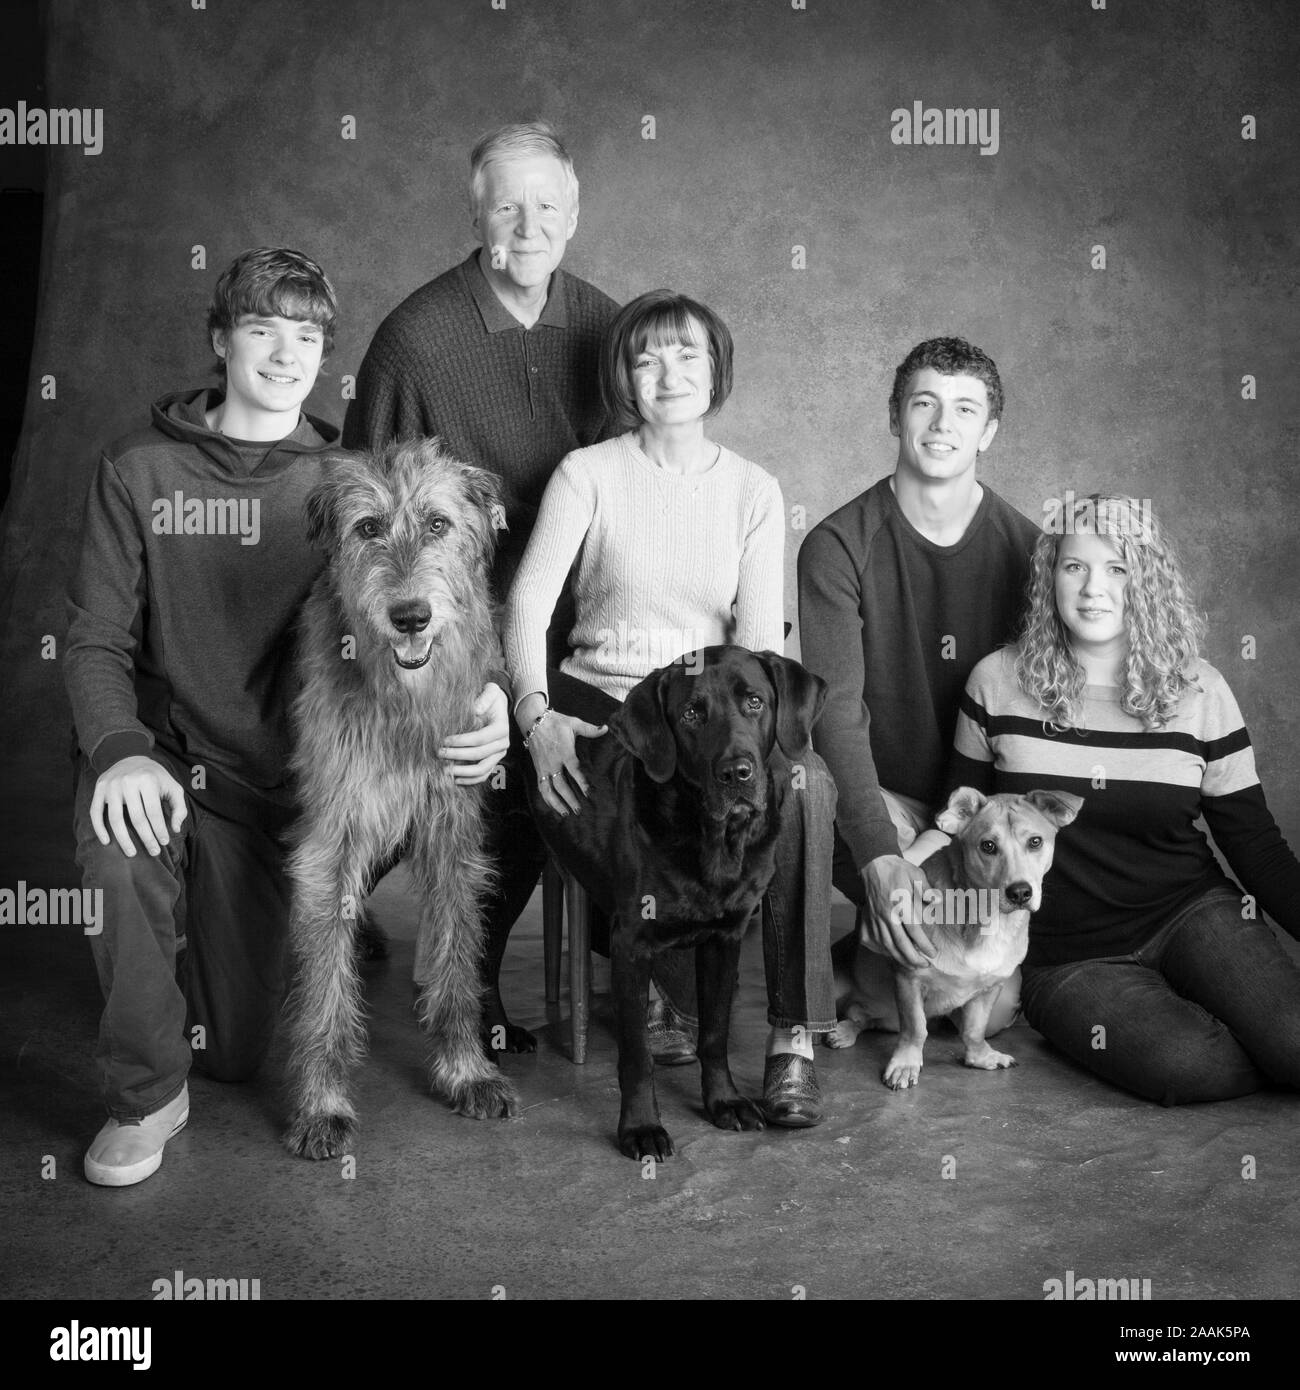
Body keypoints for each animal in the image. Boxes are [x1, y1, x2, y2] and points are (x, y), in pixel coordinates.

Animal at [828, 789, 1084, 1089]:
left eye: (1035, 841)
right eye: (988, 846)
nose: (1020, 892)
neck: (985, 920)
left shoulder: (990, 987)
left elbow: (974, 1030)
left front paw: (980, 1057)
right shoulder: (908, 977)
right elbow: (915, 1029)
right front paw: (905, 1064)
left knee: (862, 1019)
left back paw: (846, 1028)